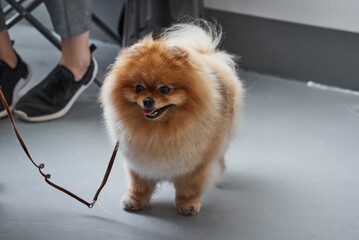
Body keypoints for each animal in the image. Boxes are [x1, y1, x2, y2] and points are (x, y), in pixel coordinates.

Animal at [100, 20, 243, 216]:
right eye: (139, 88)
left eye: (165, 89)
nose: (147, 101)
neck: (159, 129)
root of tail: (208, 56)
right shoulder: (138, 162)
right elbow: (139, 184)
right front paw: (134, 200)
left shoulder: (195, 166)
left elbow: (189, 188)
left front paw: (188, 204)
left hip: (222, 138)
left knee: (220, 155)